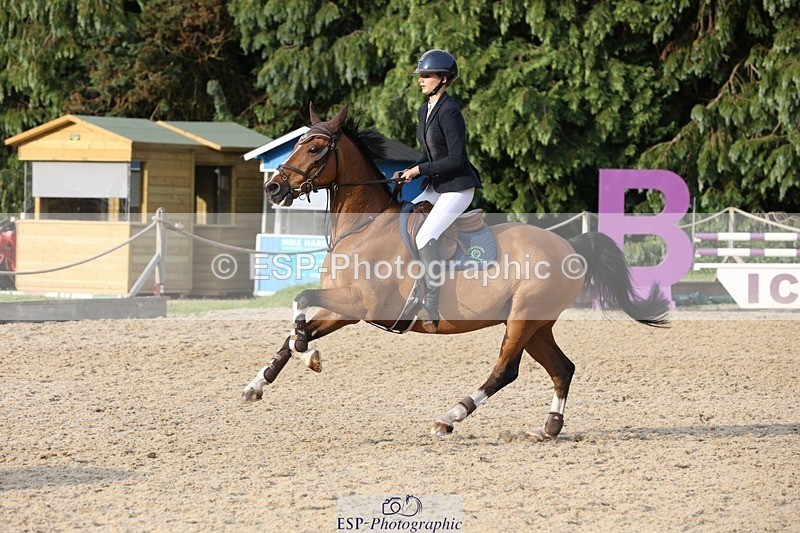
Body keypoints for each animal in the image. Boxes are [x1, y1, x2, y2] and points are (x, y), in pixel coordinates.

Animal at [242, 103, 669, 440]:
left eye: (315, 148)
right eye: (298, 144)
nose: (274, 188)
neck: (364, 226)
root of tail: (569, 247)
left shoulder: (360, 304)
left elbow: (300, 305)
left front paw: (308, 355)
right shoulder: (344, 309)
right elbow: (294, 331)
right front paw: (258, 384)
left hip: (522, 320)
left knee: (506, 371)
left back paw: (450, 417)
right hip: (535, 324)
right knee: (562, 368)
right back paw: (548, 427)